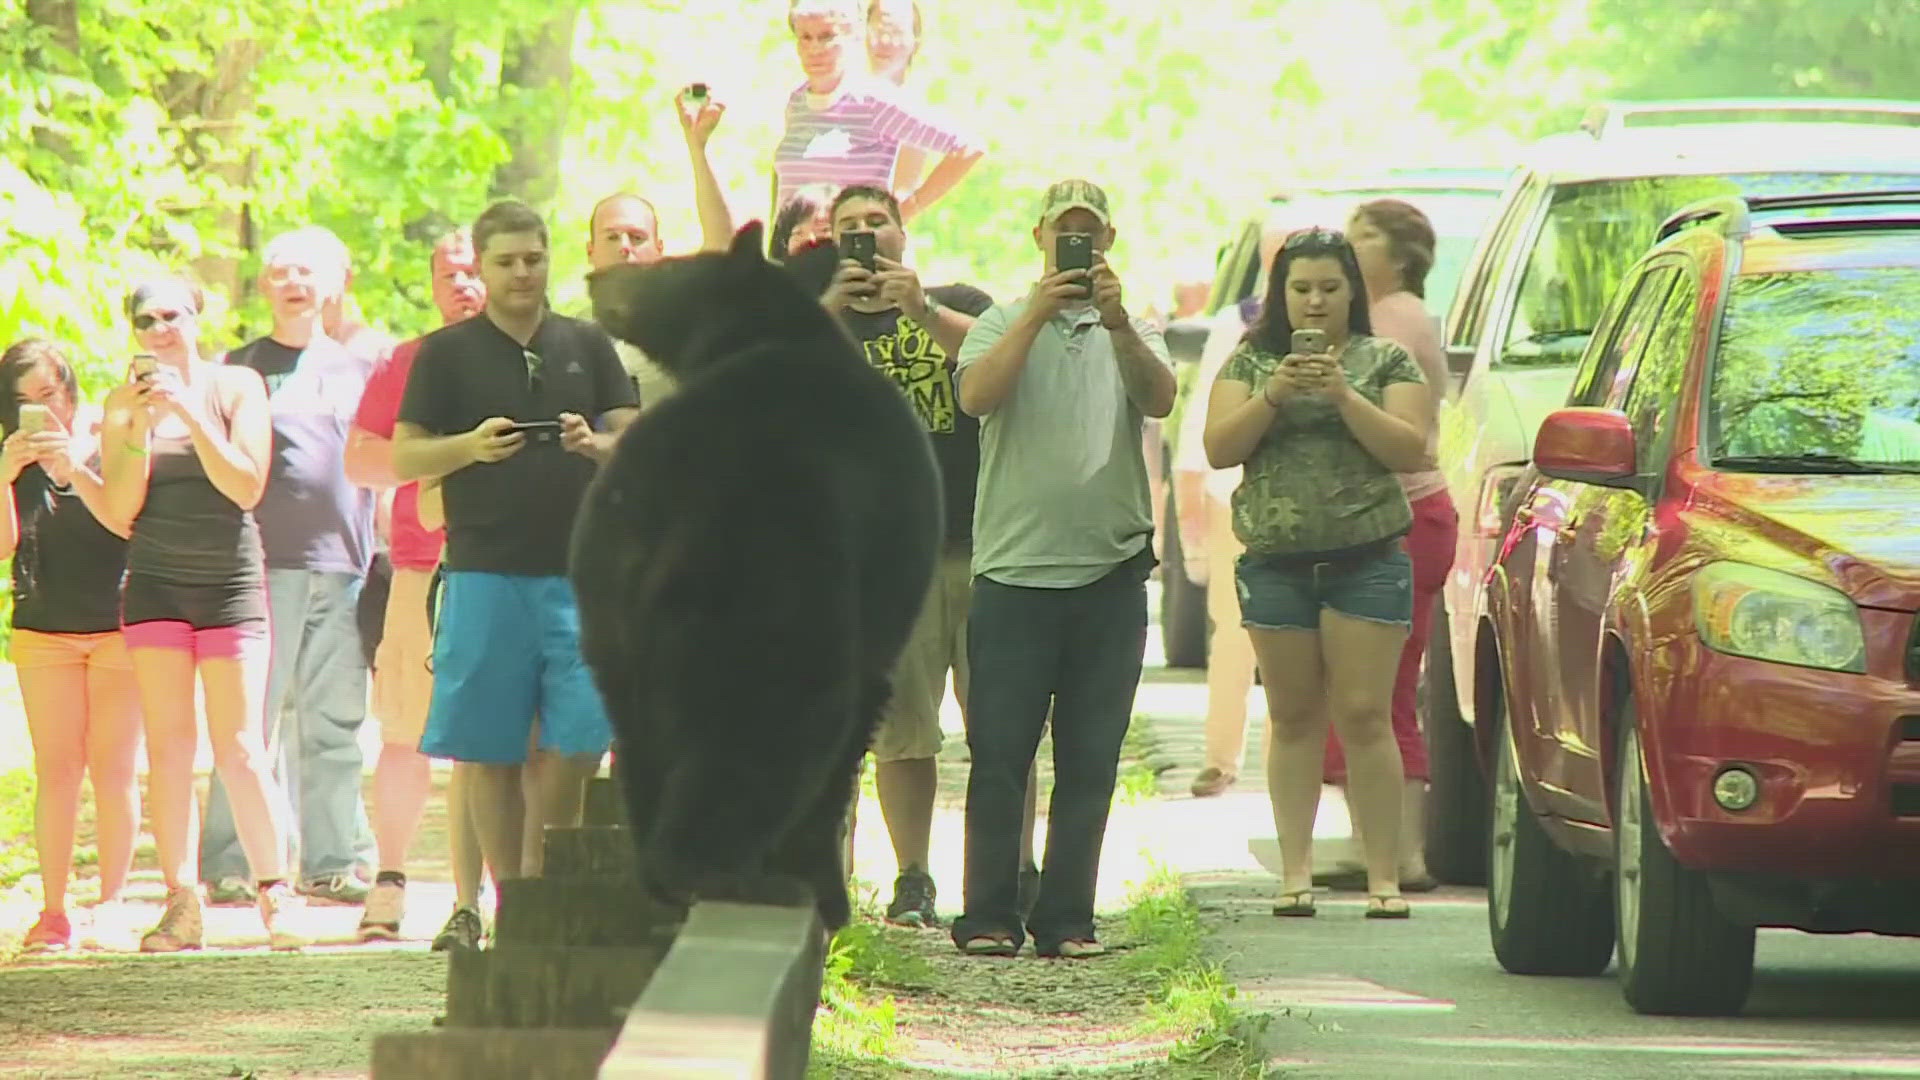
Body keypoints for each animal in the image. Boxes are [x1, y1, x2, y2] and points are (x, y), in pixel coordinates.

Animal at [572, 222, 940, 930]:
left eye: (665, 262)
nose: (596, 276)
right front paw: (823, 884)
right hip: (773, 582)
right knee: (778, 718)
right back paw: (718, 869)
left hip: (607, 596)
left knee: (641, 730)